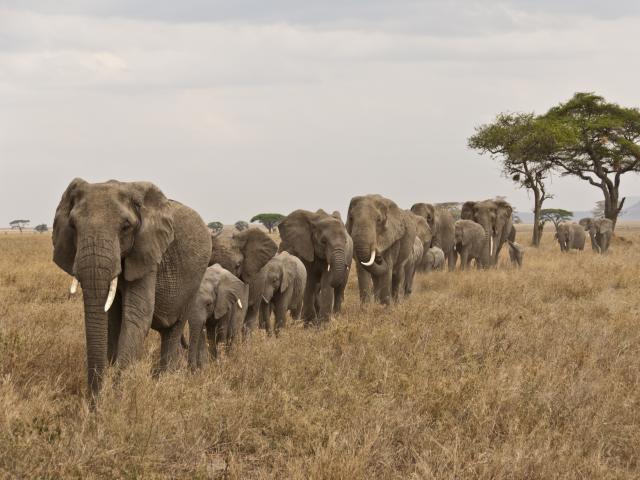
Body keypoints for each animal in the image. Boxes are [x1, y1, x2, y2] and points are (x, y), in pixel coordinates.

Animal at [52, 178, 212, 396]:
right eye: (73, 225)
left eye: (126, 226)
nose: (94, 400)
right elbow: (112, 320)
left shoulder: (147, 252)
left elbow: (137, 314)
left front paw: (118, 395)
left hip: (195, 280)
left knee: (174, 328)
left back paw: (165, 380)